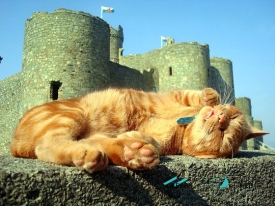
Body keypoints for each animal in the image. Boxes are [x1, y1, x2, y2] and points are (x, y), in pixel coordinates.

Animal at [10, 87, 268, 173]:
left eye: (224, 135)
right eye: (232, 119)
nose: (222, 117)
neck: (184, 124)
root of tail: (15, 144)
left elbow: (153, 142)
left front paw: (136, 147)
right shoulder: (174, 96)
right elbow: (195, 94)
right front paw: (210, 97)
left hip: (72, 123)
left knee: (51, 146)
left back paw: (124, 153)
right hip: (72, 114)